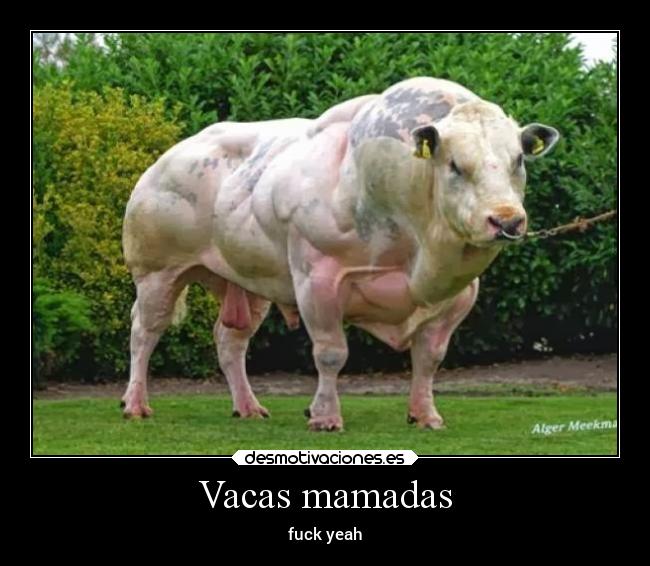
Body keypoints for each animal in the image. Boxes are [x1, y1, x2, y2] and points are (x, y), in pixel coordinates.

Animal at [122, 77, 559, 431]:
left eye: (518, 160)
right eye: (455, 164)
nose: (506, 220)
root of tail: (170, 156)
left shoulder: (460, 295)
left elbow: (430, 357)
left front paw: (425, 414)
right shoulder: (318, 279)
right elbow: (331, 354)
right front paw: (326, 417)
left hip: (249, 282)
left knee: (230, 342)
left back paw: (247, 406)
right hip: (157, 272)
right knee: (145, 332)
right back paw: (136, 404)